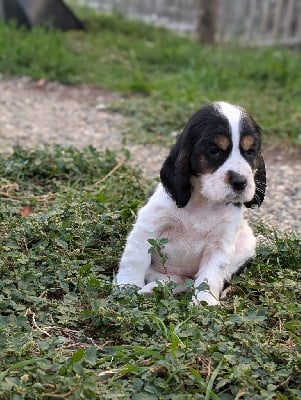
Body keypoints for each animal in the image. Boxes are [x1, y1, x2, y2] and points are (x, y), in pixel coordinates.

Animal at [115, 101, 264, 304]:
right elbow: (135, 258)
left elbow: (211, 275)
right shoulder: (148, 226)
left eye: (250, 151)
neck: (203, 202)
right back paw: (153, 289)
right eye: (214, 151)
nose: (241, 182)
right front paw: (126, 286)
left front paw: (204, 302)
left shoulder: (220, 243)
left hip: (247, 241)